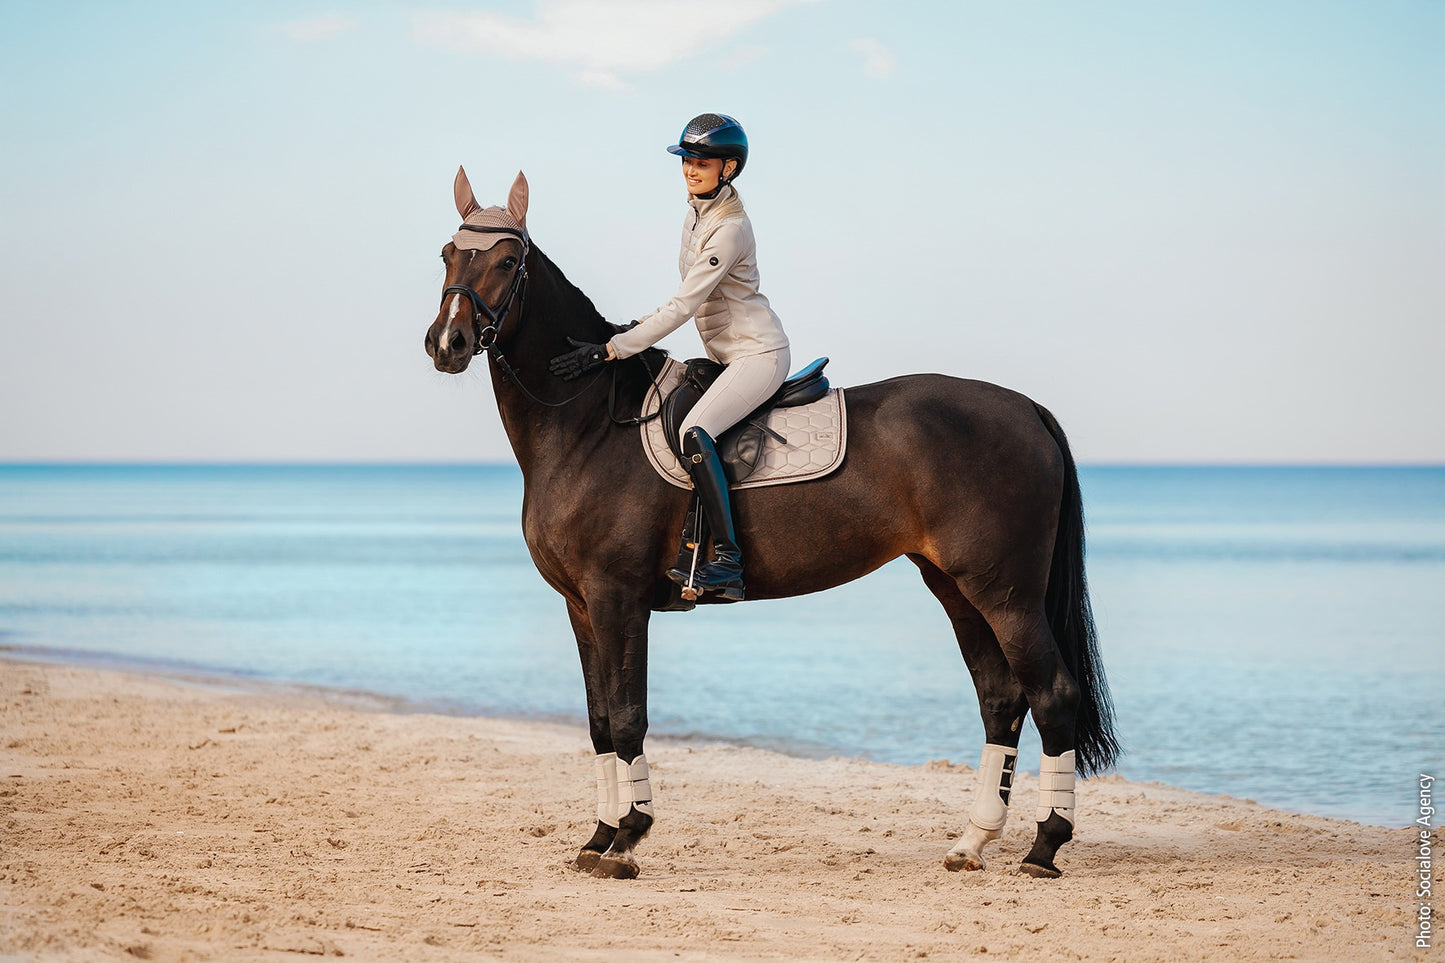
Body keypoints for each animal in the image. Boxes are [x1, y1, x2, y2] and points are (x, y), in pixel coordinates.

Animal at [424, 168, 1119, 880]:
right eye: (448, 255)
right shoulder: (581, 605)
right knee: (1001, 698)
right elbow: (597, 722)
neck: (588, 424)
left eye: (508, 263)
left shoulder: (617, 598)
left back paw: (1044, 846)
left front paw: (628, 839)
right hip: (956, 586)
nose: (446, 344)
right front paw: (599, 837)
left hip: (1005, 592)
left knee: (1053, 695)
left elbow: (626, 717)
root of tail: (1025, 408)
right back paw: (972, 842)